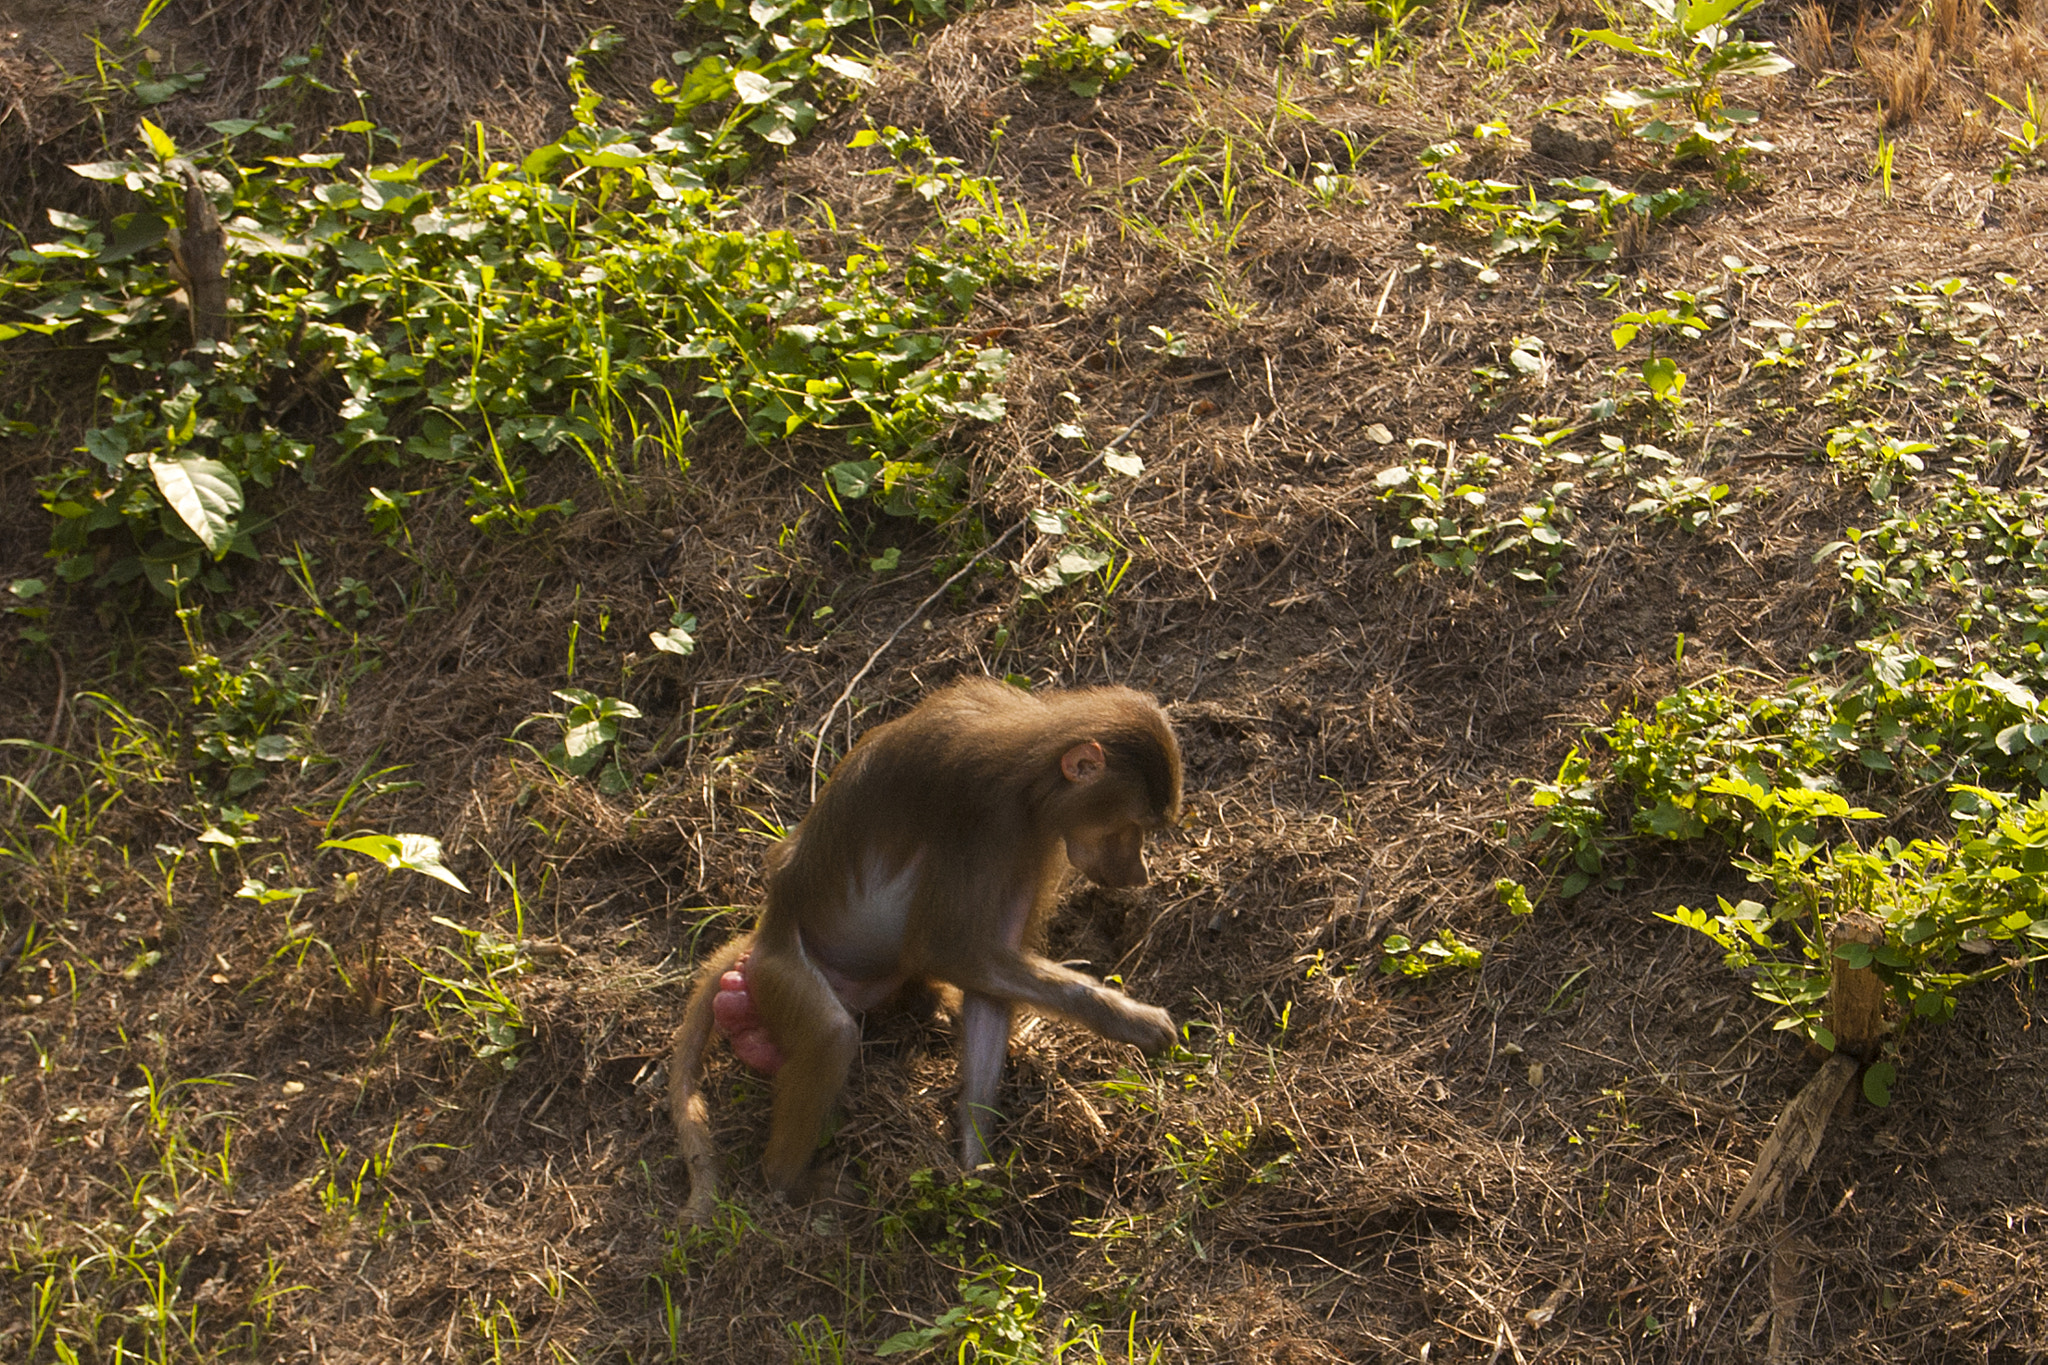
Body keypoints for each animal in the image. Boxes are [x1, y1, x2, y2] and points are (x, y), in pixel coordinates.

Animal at [670, 678, 1183, 1223]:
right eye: (1131, 827)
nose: (1138, 874)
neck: (1032, 769)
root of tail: (768, 928)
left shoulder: (1032, 843)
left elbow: (986, 986)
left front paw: (976, 1162)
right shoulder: (982, 819)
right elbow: (948, 950)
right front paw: (1133, 1020)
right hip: (779, 972)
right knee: (831, 1034)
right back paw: (788, 1181)